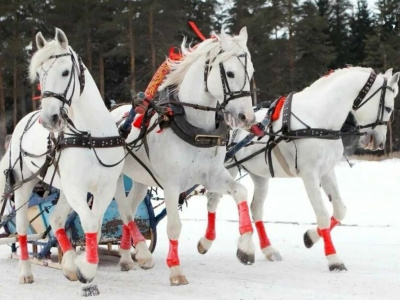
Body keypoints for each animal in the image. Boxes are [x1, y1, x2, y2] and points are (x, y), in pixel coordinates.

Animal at [0, 27, 124, 294]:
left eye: (66, 72)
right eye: (39, 74)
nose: (49, 119)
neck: (91, 137)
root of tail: (23, 122)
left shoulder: (104, 188)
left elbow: (96, 225)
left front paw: (80, 267)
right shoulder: (77, 187)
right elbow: (89, 222)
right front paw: (86, 270)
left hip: (63, 188)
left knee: (56, 219)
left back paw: (67, 265)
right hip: (24, 184)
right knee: (22, 228)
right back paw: (26, 272)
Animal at [110, 27, 256, 284]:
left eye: (251, 73)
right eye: (230, 73)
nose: (247, 118)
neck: (195, 127)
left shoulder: (212, 175)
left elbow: (240, 192)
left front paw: (245, 247)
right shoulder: (171, 183)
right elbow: (174, 227)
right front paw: (176, 270)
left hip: (140, 180)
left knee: (131, 210)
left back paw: (128, 257)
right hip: (116, 178)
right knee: (125, 211)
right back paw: (144, 254)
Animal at [202, 67, 398, 270]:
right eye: (388, 108)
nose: (378, 143)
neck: (319, 120)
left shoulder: (327, 172)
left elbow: (340, 210)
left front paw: (310, 237)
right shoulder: (309, 175)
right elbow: (322, 215)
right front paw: (334, 259)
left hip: (259, 175)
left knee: (255, 208)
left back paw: (268, 249)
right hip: (226, 168)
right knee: (213, 200)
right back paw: (208, 242)